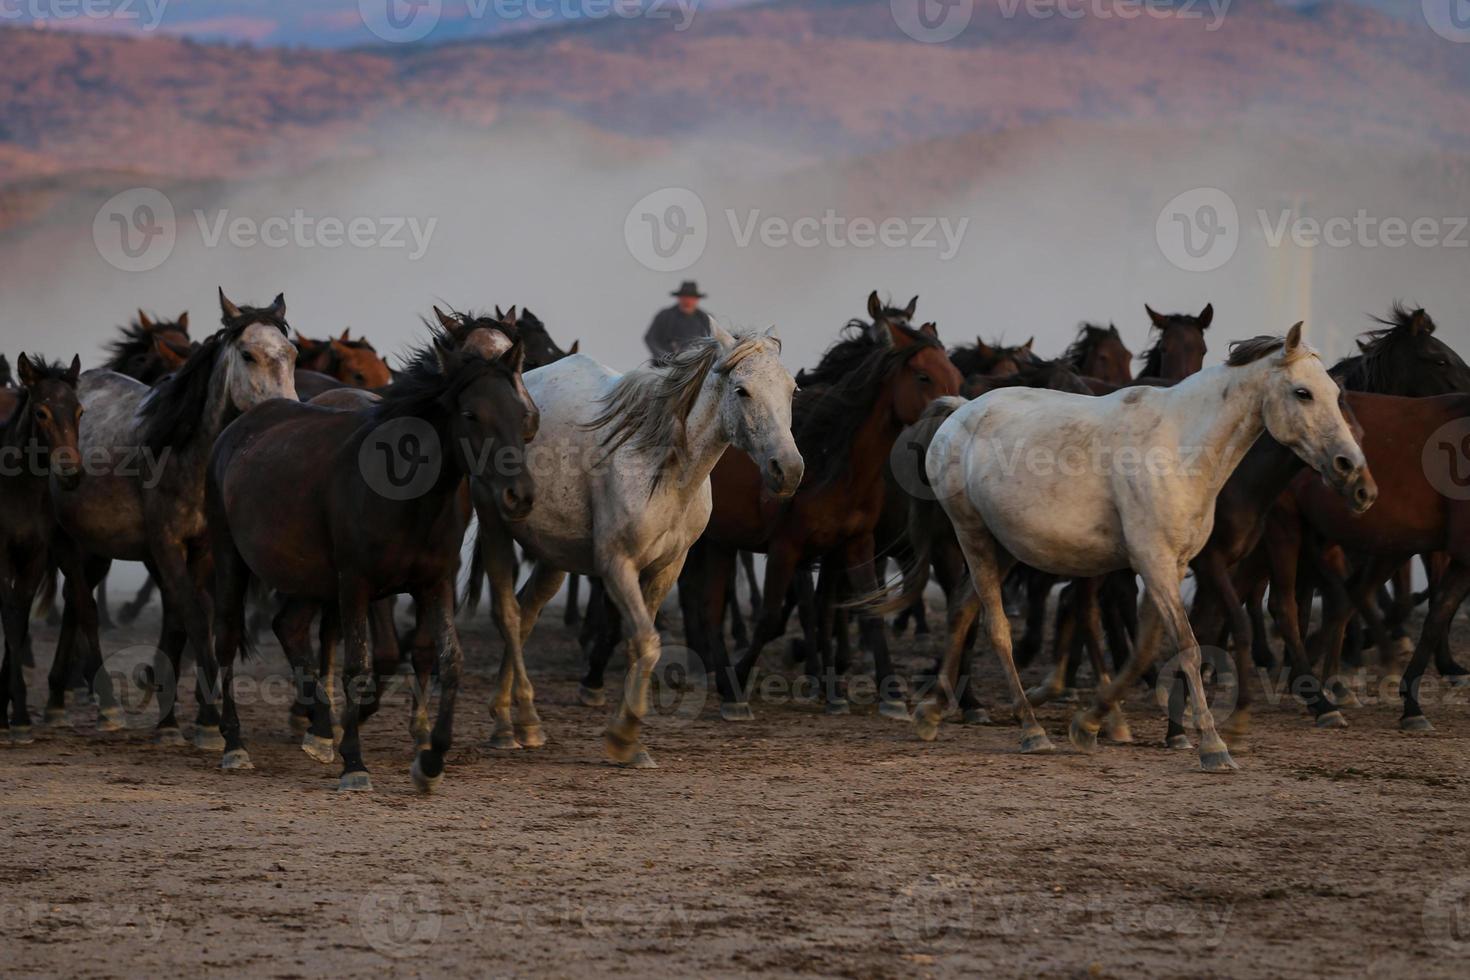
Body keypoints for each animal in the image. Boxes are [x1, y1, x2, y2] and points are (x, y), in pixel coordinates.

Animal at [48, 287, 298, 746]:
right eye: (248, 354)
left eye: (292, 353)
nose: (288, 412)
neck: (187, 455)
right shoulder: (166, 546)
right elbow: (194, 620)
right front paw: (210, 723)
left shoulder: (201, 551)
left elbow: (185, 622)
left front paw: (177, 718)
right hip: (65, 540)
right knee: (80, 602)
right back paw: (92, 702)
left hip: (97, 547)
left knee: (76, 602)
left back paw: (62, 695)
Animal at [204, 337, 532, 787]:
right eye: (471, 414)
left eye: (521, 414)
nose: (520, 495)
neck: (402, 493)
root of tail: (236, 430)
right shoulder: (355, 584)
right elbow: (357, 666)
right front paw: (355, 764)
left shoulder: (434, 583)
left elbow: (451, 660)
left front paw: (431, 759)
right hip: (231, 557)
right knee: (227, 637)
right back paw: (235, 743)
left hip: (308, 576)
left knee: (289, 627)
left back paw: (322, 730)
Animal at [479, 326, 805, 769]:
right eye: (742, 390)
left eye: (791, 389)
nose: (787, 470)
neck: (660, 468)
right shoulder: (617, 565)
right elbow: (648, 643)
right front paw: (623, 737)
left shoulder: (666, 569)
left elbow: (640, 646)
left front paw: (629, 740)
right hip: (494, 527)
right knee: (508, 614)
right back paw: (506, 726)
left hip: (553, 556)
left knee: (526, 613)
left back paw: (516, 720)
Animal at [923, 326, 1370, 769]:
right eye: (1302, 392)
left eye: (1334, 392)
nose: (1353, 472)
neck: (1182, 449)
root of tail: (961, 410)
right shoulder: (1155, 562)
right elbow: (1188, 646)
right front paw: (1213, 745)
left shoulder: (1174, 565)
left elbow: (1145, 650)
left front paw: (1089, 725)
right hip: (973, 534)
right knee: (996, 628)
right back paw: (1029, 728)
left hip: (1004, 546)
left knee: (962, 609)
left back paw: (931, 712)